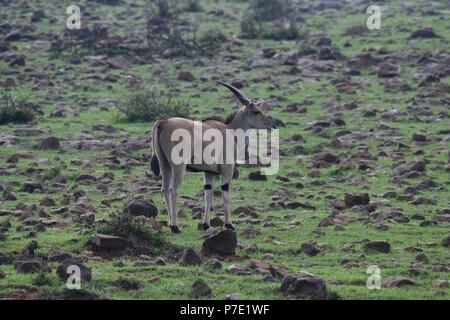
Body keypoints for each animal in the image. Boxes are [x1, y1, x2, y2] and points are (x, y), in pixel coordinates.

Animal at [150, 82, 274, 232]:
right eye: (256, 111)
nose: (272, 125)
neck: (230, 131)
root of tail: (163, 122)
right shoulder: (227, 170)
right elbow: (225, 196)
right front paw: (229, 224)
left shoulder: (209, 173)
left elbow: (208, 197)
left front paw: (206, 224)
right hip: (178, 166)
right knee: (173, 189)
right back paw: (175, 226)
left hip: (165, 164)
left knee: (164, 188)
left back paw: (169, 223)